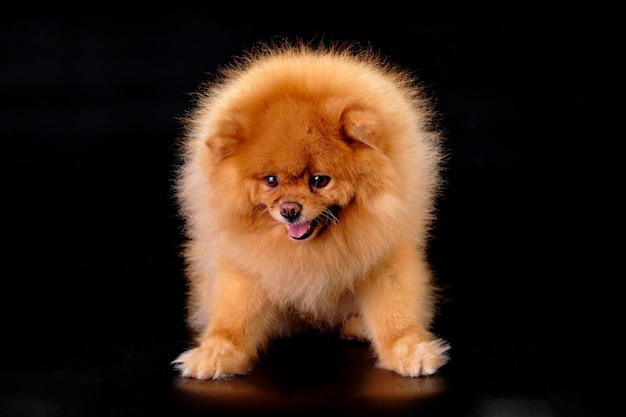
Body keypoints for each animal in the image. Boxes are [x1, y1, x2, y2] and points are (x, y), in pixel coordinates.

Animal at [172, 40, 448, 378]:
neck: (313, 251)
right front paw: (215, 353)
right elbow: (232, 317)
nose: (290, 209)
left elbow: (395, 310)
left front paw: (408, 350)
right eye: (271, 180)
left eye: (319, 180)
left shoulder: (385, 256)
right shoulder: (246, 263)